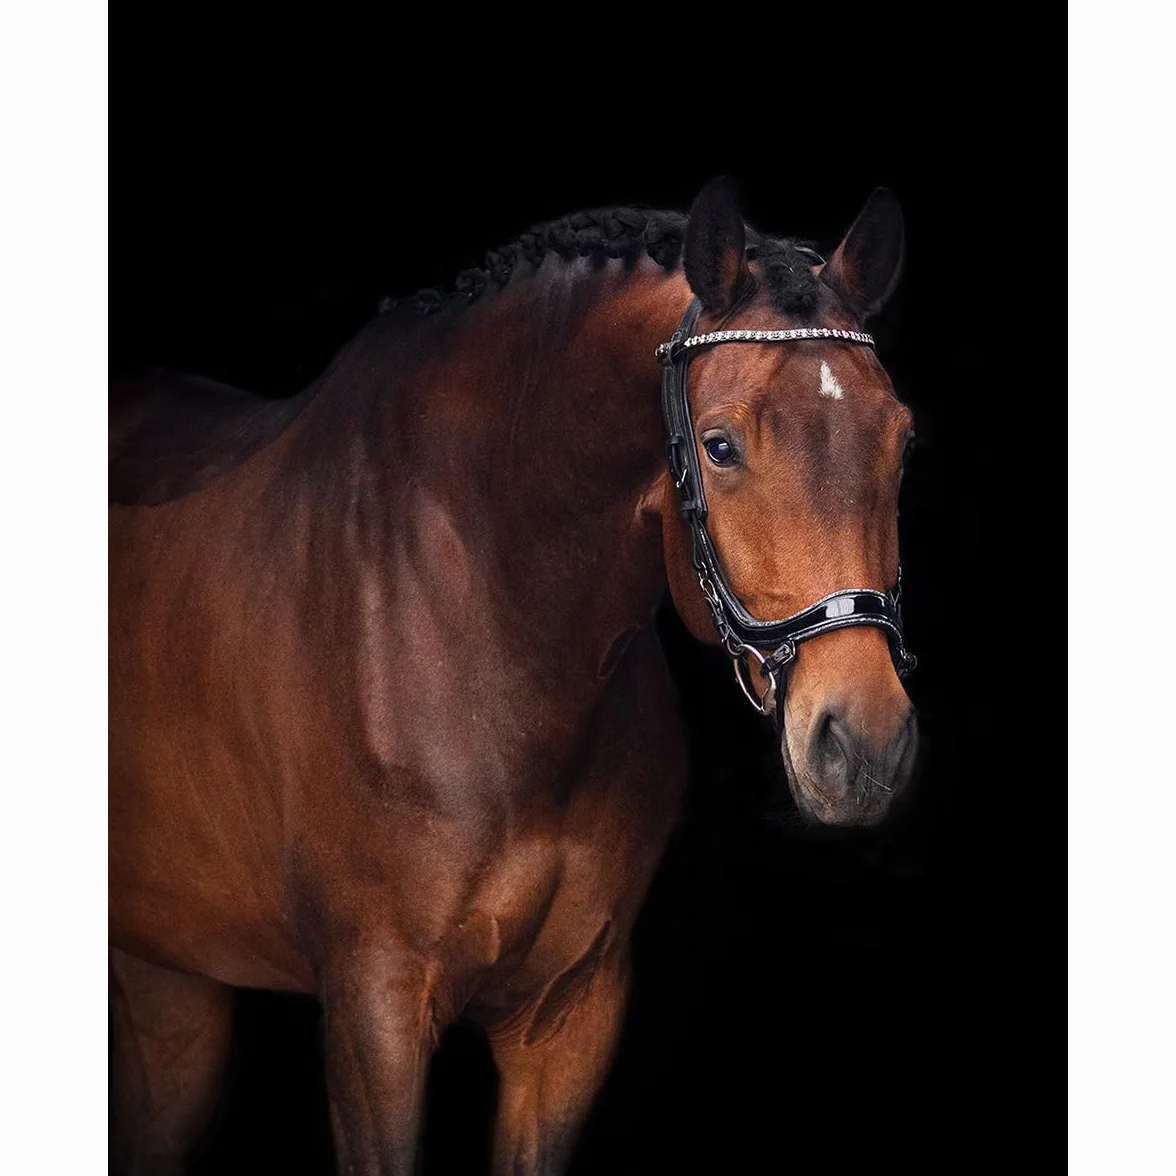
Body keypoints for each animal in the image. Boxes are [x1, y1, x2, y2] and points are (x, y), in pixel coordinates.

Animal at [109, 177, 918, 1175]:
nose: (865, 744)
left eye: (902, 442)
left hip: (170, 980)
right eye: (721, 446)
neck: (489, 632)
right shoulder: (373, 1012)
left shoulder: (568, 1017)